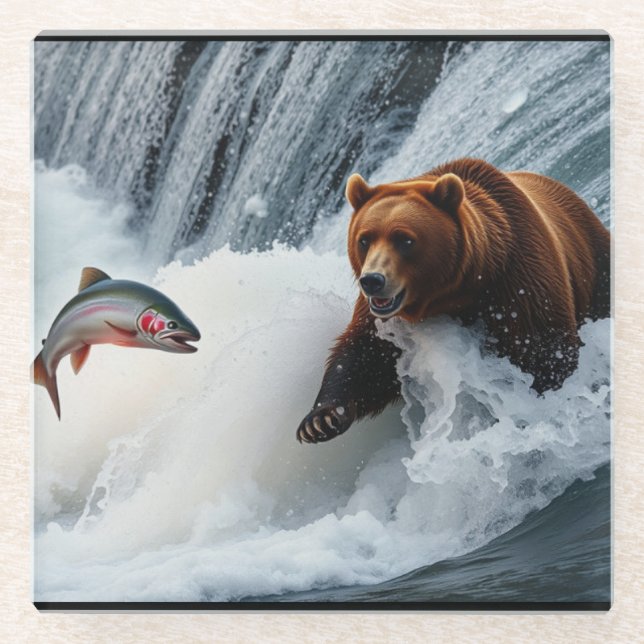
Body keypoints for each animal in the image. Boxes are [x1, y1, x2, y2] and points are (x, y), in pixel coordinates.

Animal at [296, 157, 610, 444]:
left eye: (405, 239)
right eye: (364, 239)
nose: (372, 280)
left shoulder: (517, 279)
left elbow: (541, 346)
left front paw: (541, 398)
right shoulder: (383, 318)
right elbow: (365, 358)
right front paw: (320, 421)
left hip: (595, 263)